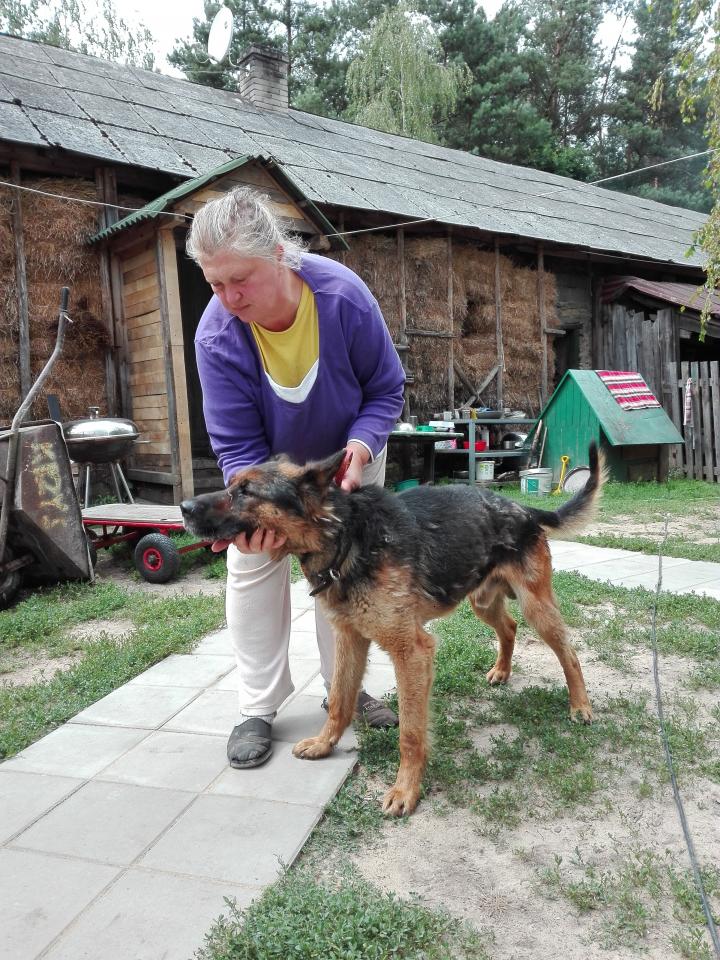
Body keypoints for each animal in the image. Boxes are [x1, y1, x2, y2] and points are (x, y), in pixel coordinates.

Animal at [180, 443, 605, 817]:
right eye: (232, 484)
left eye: (245, 492)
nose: (183, 508)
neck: (346, 537)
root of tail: (524, 508)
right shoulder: (349, 639)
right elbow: (340, 700)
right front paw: (324, 744)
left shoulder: (412, 652)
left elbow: (411, 735)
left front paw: (405, 792)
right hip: (482, 602)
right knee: (510, 627)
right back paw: (502, 671)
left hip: (537, 608)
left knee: (569, 653)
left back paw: (580, 706)